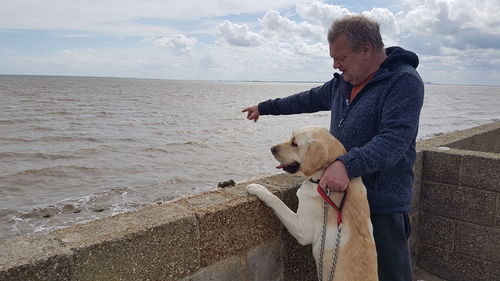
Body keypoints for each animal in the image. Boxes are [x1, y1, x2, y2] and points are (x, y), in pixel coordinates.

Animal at [248, 127, 376, 280]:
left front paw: (257, 188)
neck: (321, 180)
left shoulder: (302, 230)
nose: (272, 148)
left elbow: (277, 202)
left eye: (295, 144)